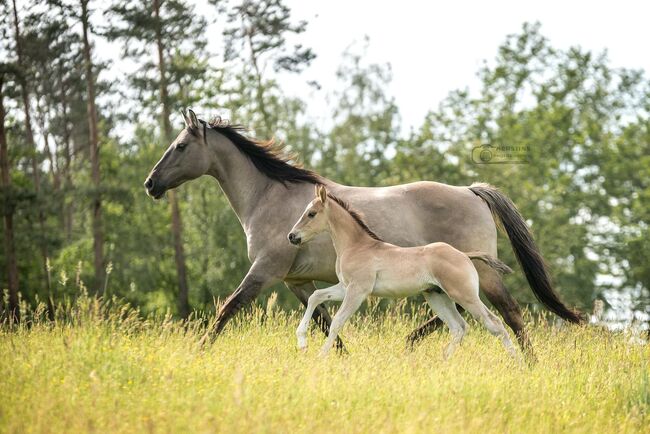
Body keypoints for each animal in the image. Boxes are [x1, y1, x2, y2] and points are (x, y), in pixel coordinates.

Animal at [288, 185, 516, 358]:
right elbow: (316, 297)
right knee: (458, 327)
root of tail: (464, 255)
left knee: (494, 323)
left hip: (465, 295)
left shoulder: (358, 290)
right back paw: (444, 360)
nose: (292, 236)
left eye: (311, 214)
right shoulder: (344, 287)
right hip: (437, 297)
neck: (357, 246)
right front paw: (301, 342)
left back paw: (517, 363)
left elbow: (337, 322)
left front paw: (320, 356)